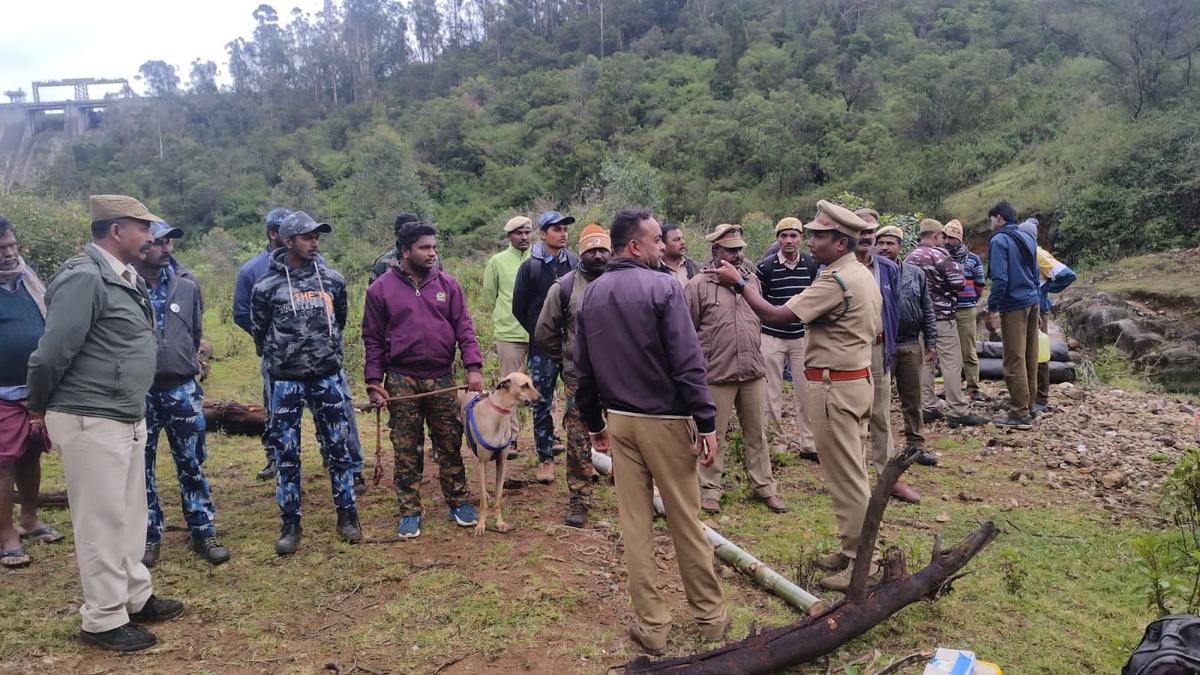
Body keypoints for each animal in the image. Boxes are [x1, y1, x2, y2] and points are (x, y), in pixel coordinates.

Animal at [453, 369, 540, 533]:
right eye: (524, 385)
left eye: (532, 383)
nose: (542, 399)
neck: (498, 416)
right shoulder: (483, 461)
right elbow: (482, 500)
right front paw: (481, 525)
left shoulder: (501, 462)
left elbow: (498, 497)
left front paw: (499, 522)